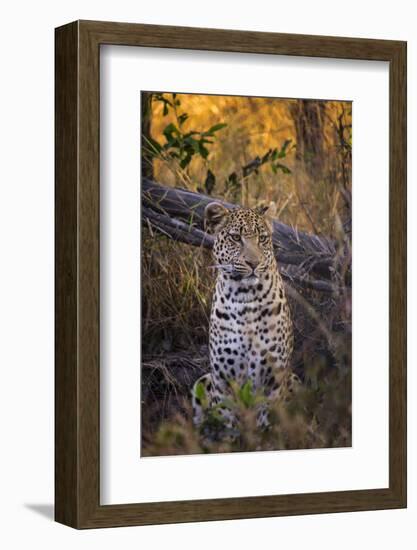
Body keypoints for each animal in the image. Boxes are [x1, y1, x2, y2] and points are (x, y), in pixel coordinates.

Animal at [190, 199, 298, 436]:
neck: (245, 298)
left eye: (263, 238)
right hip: (202, 381)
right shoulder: (223, 381)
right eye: (235, 238)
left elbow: (268, 425)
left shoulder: (274, 381)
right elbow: (229, 425)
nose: (253, 263)